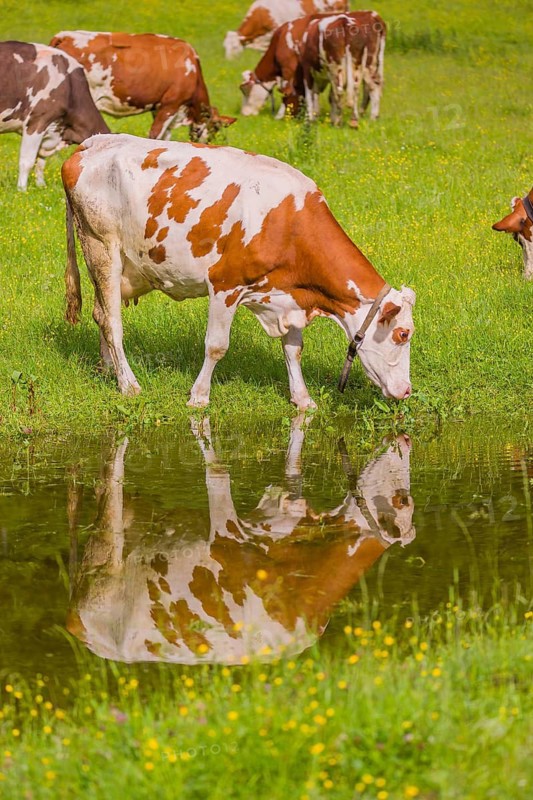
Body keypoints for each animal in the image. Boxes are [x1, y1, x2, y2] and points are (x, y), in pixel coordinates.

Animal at [49, 31, 235, 142]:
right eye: (216, 127)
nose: (209, 142)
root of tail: (64, 35)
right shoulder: (170, 105)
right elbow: (155, 135)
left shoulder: (159, 107)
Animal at [62, 133, 415, 407]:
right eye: (403, 334)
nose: (407, 391)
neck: (287, 223)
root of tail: (93, 142)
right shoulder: (225, 285)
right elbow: (216, 346)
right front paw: (199, 396)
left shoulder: (290, 293)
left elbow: (294, 349)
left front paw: (302, 399)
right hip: (101, 246)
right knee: (112, 322)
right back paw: (128, 384)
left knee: (100, 312)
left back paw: (108, 370)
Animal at [240, 10, 386, 123]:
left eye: (246, 90)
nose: (244, 113)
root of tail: (372, 14)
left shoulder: (289, 69)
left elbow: (290, 91)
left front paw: (282, 115)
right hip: (370, 65)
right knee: (371, 85)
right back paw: (365, 115)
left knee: (369, 87)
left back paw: (369, 116)